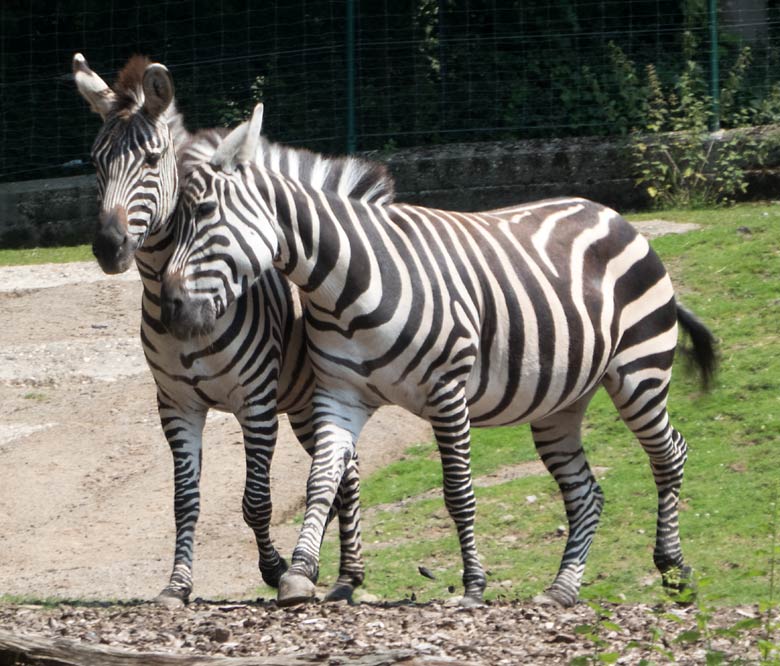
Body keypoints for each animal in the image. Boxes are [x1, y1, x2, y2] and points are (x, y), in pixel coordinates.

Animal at [73, 54, 396, 604]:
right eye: (96, 162)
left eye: (153, 160)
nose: (109, 247)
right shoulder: (176, 404)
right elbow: (185, 501)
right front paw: (177, 585)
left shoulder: (256, 403)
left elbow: (255, 500)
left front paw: (276, 569)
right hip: (305, 404)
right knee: (339, 471)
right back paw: (340, 573)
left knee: (347, 472)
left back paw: (347, 576)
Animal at [161, 104, 716, 608]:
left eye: (204, 214)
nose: (171, 309)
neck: (344, 285)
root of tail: (608, 212)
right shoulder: (339, 395)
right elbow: (322, 481)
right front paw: (298, 576)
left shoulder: (447, 393)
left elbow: (458, 493)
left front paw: (473, 586)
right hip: (560, 403)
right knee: (586, 492)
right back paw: (562, 590)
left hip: (639, 371)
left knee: (670, 455)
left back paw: (675, 571)